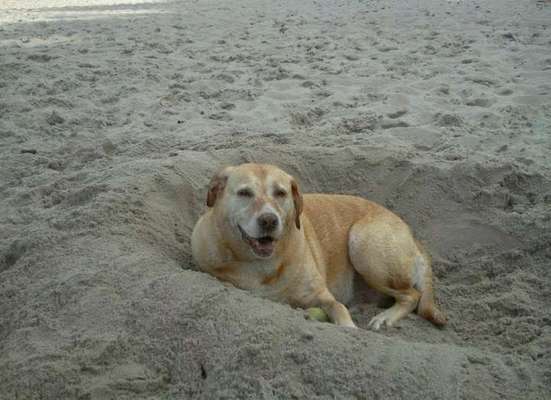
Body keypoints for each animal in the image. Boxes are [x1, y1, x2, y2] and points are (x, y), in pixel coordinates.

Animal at [192, 162, 446, 328]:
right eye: (244, 193)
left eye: (281, 193)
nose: (269, 220)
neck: (260, 265)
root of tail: (412, 236)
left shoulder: (323, 296)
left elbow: (338, 308)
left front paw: (349, 328)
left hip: (363, 242)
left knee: (412, 294)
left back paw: (385, 317)